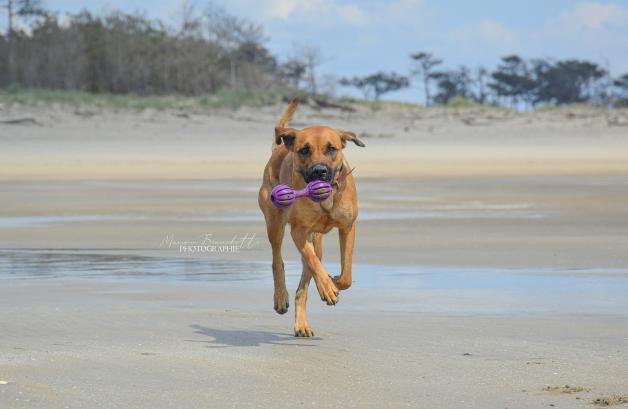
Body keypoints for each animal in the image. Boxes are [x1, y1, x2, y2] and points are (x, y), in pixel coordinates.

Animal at [258, 97, 366, 336]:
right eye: (304, 150)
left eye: (331, 148)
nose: (319, 171)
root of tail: (279, 147)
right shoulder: (298, 231)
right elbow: (312, 262)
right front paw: (328, 287)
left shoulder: (348, 227)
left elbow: (347, 274)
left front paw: (334, 283)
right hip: (275, 224)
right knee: (278, 261)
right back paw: (282, 296)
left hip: (316, 239)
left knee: (304, 284)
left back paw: (303, 322)